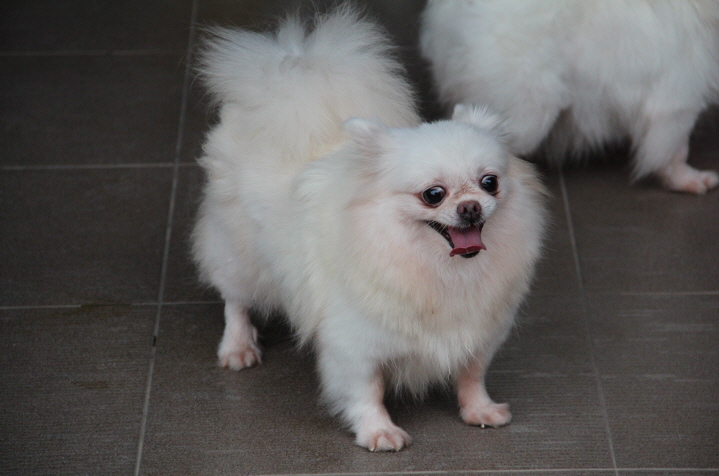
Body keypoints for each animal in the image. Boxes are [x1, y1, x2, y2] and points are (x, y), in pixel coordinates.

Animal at [192, 7, 547, 451]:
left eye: (489, 183)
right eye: (433, 194)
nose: (470, 207)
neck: (442, 271)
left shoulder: (479, 334)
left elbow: (471, 376)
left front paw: (479, 411)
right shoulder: (355, 344)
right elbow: (366, 391)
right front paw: (379, 432)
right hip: (238, 253)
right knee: (235, 299)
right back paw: (238, 346)